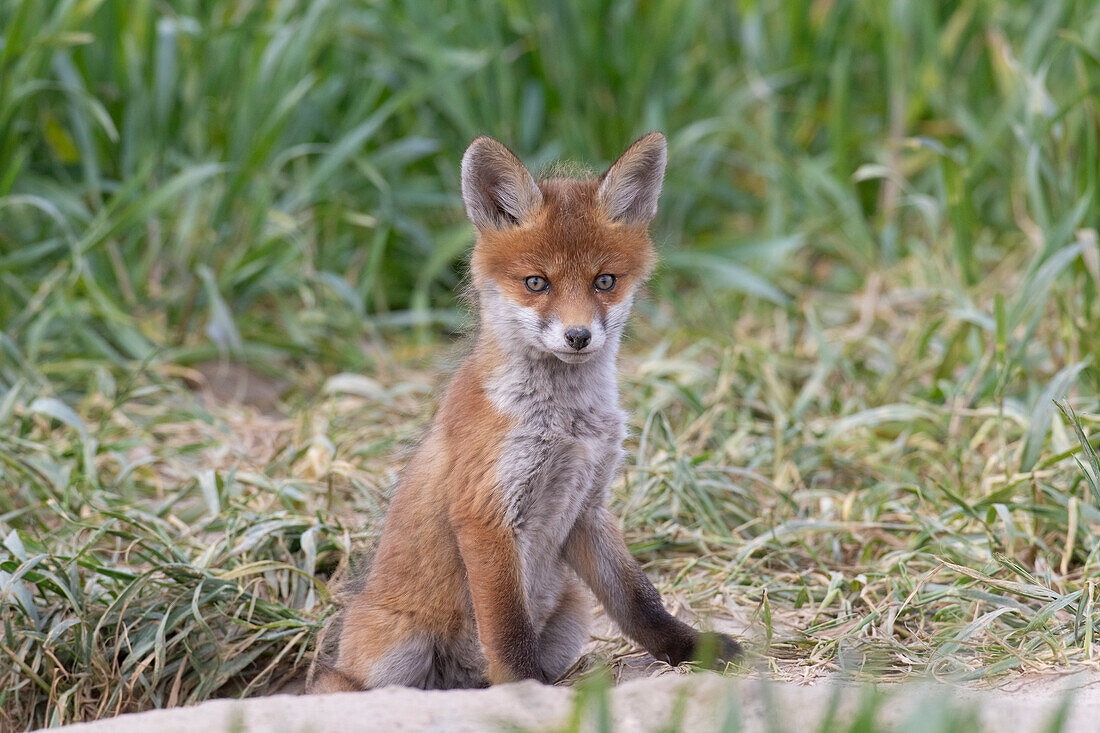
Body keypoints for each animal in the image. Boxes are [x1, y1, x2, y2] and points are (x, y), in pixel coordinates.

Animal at [310, 132, 739, 691]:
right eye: (537, 283)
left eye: (604, 281)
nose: (578, 336)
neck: (568, 424)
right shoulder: (486, 512)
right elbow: (507, 627)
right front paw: (525, 689)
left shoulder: (589, 506)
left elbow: (638, 600)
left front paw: (689, 647)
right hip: (397, 649)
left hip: (572, 610)